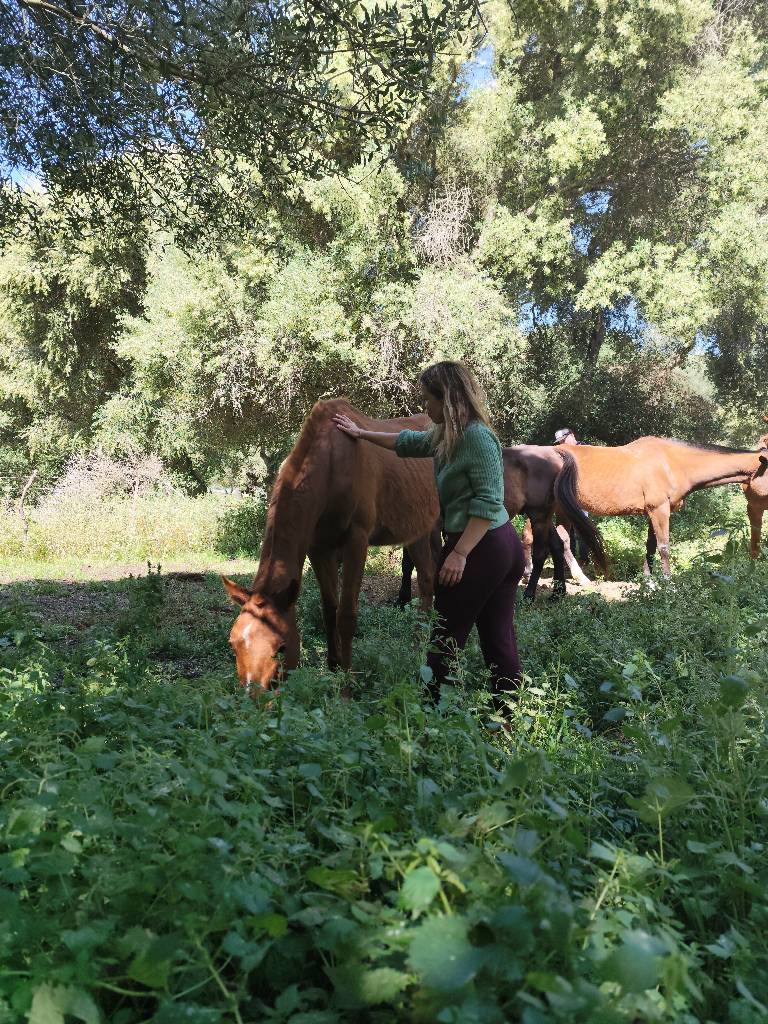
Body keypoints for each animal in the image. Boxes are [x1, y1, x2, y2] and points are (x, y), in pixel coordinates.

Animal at [397, 444, 608, 604]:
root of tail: (554, 453)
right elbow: (407, 564)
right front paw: (402, 599)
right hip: (545, 518)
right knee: (557, 546)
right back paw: (557, 593)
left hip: (539, 515)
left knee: (540, 553)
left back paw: (529, 595)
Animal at [523, 431, 768, 596]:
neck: (671, 463)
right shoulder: (659, 510)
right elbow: (664, 547)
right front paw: (669, 585)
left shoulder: (654, 512)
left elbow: (650, 547)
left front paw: (648, 582)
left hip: (559, 510)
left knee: (557, 540)